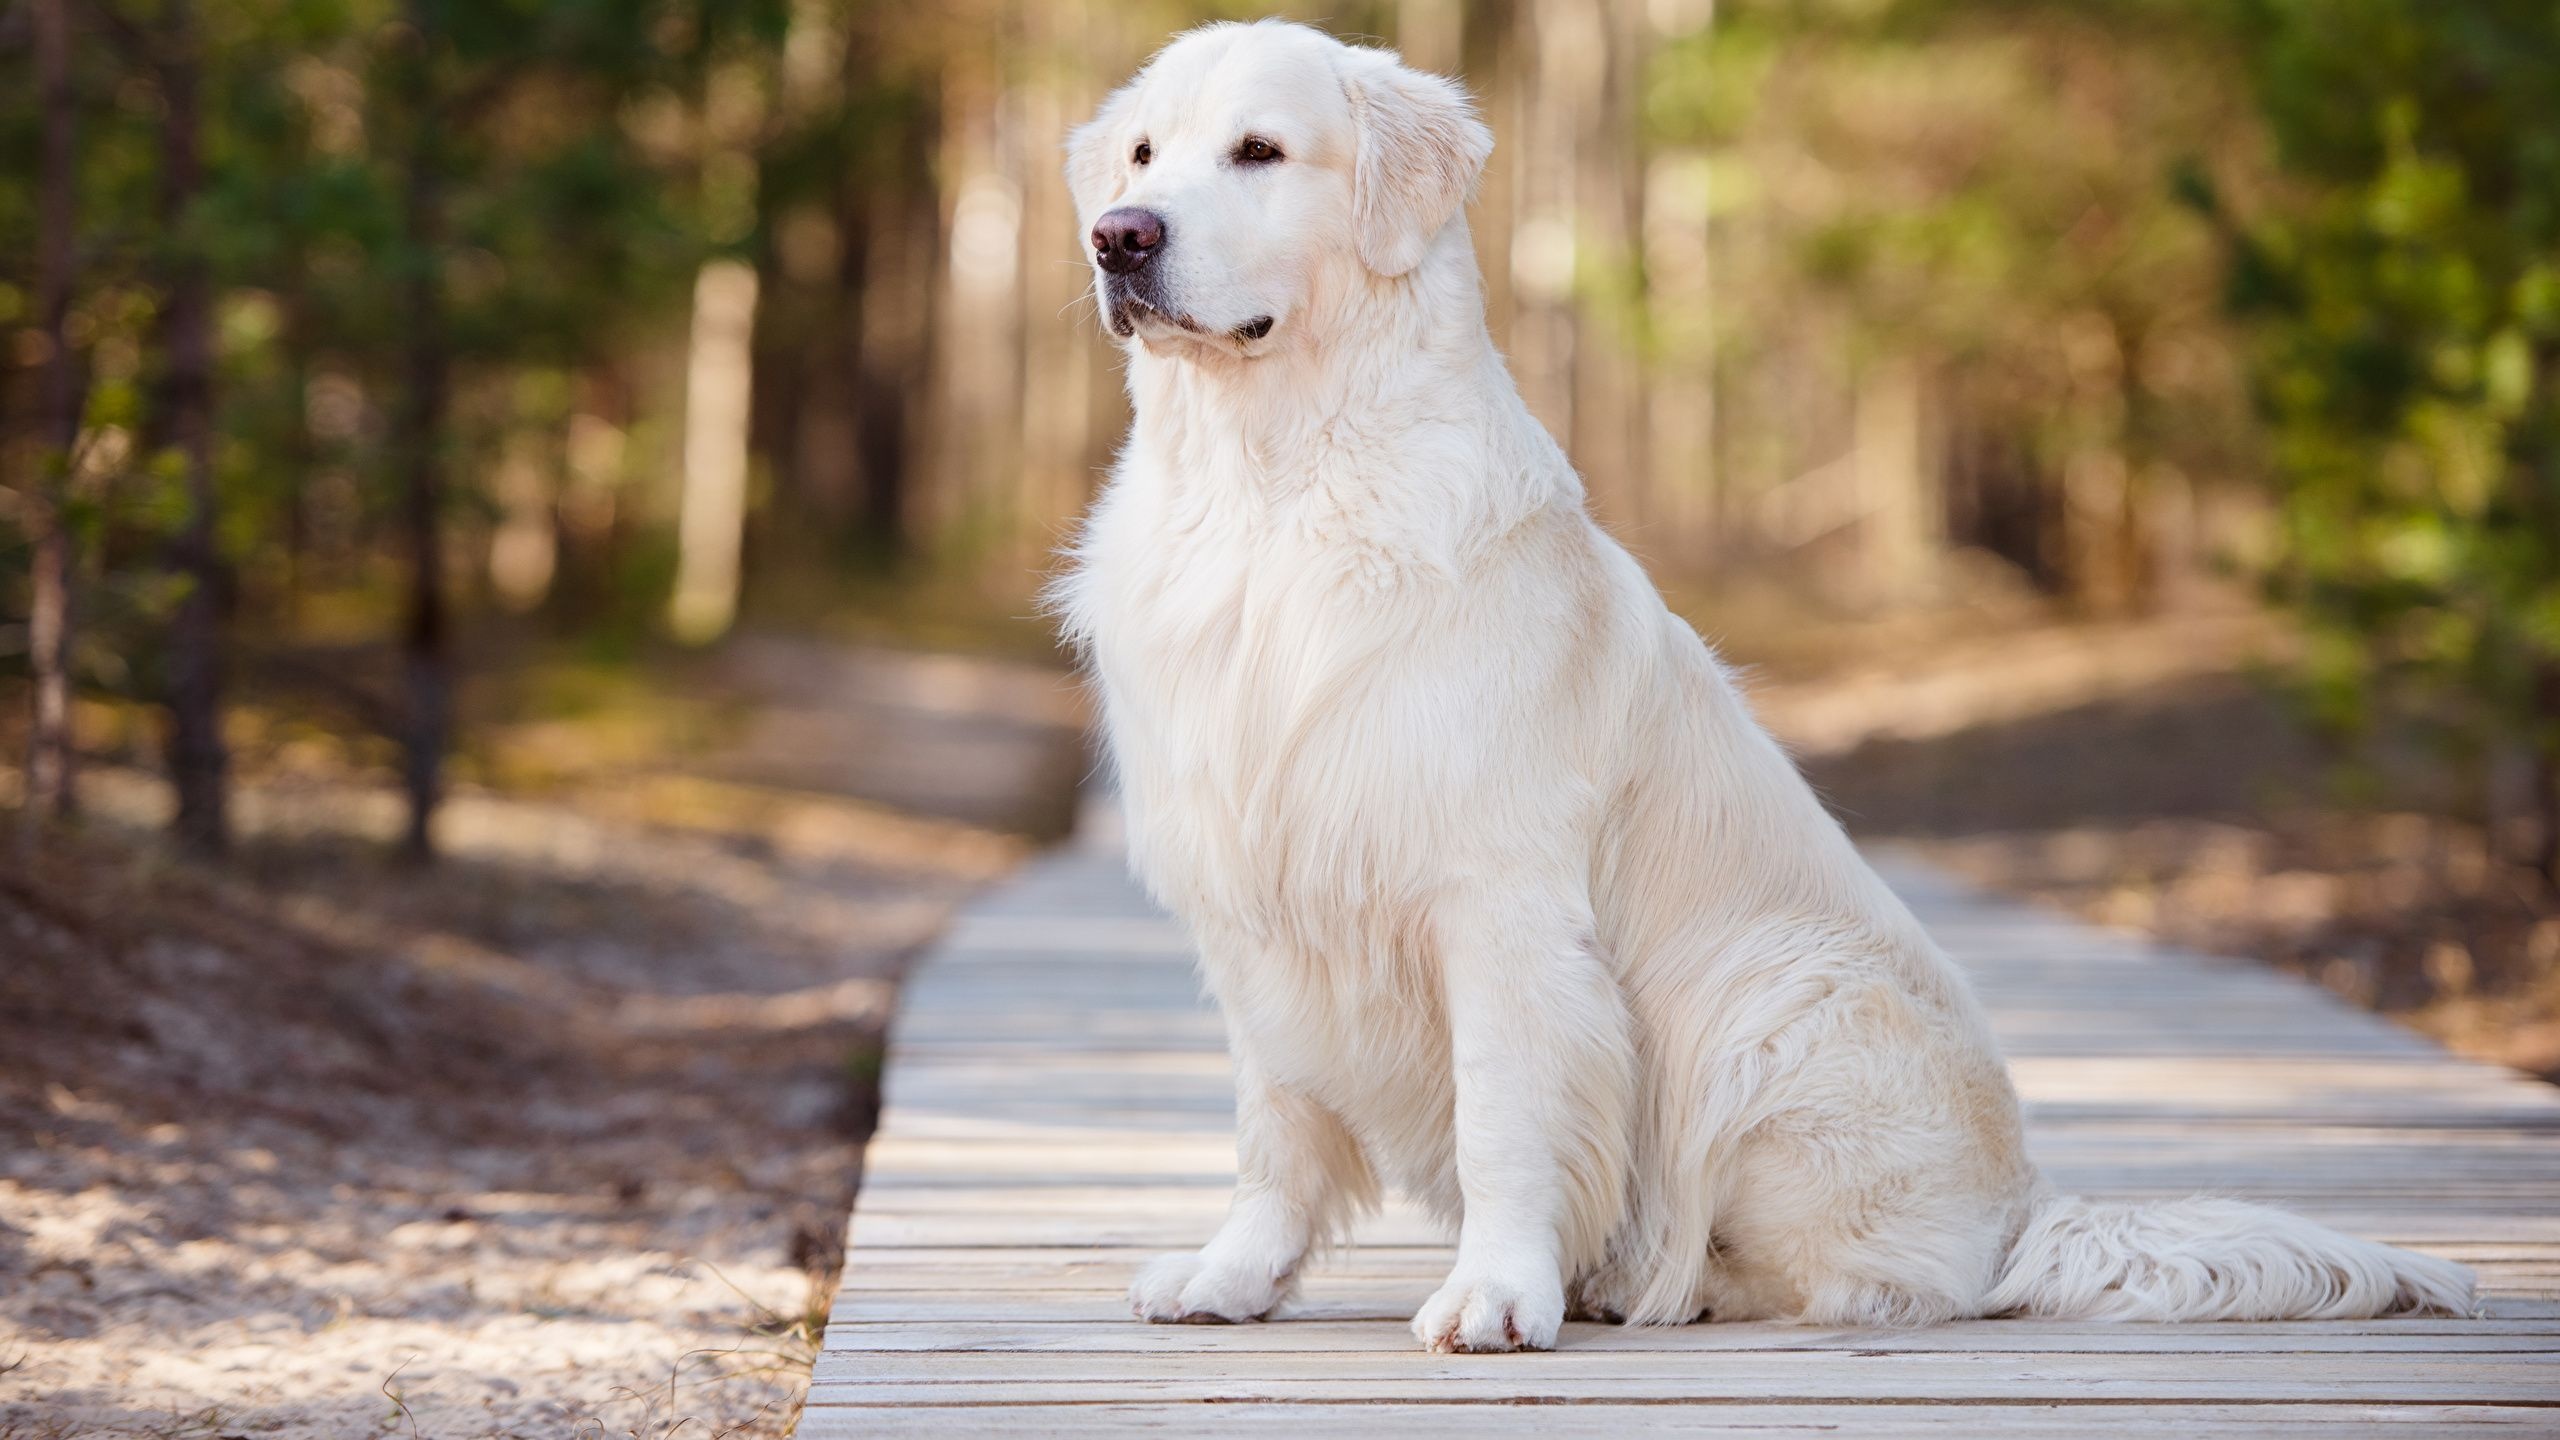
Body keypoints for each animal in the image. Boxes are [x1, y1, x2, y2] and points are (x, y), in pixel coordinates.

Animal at [1044, 16, 2478, 1352]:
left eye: (1260, 151)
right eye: (1142, 156)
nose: (1117, 238)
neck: (1274, 486)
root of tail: (2028, 1210)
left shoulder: (1493, 896)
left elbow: (1505, 1114)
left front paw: (1498, 1292)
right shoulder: (1256, 896)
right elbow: (1276, 1125)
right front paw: (1235, 1275)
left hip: (1774, 992)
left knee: (1885, 1279)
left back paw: (1667, 1284)